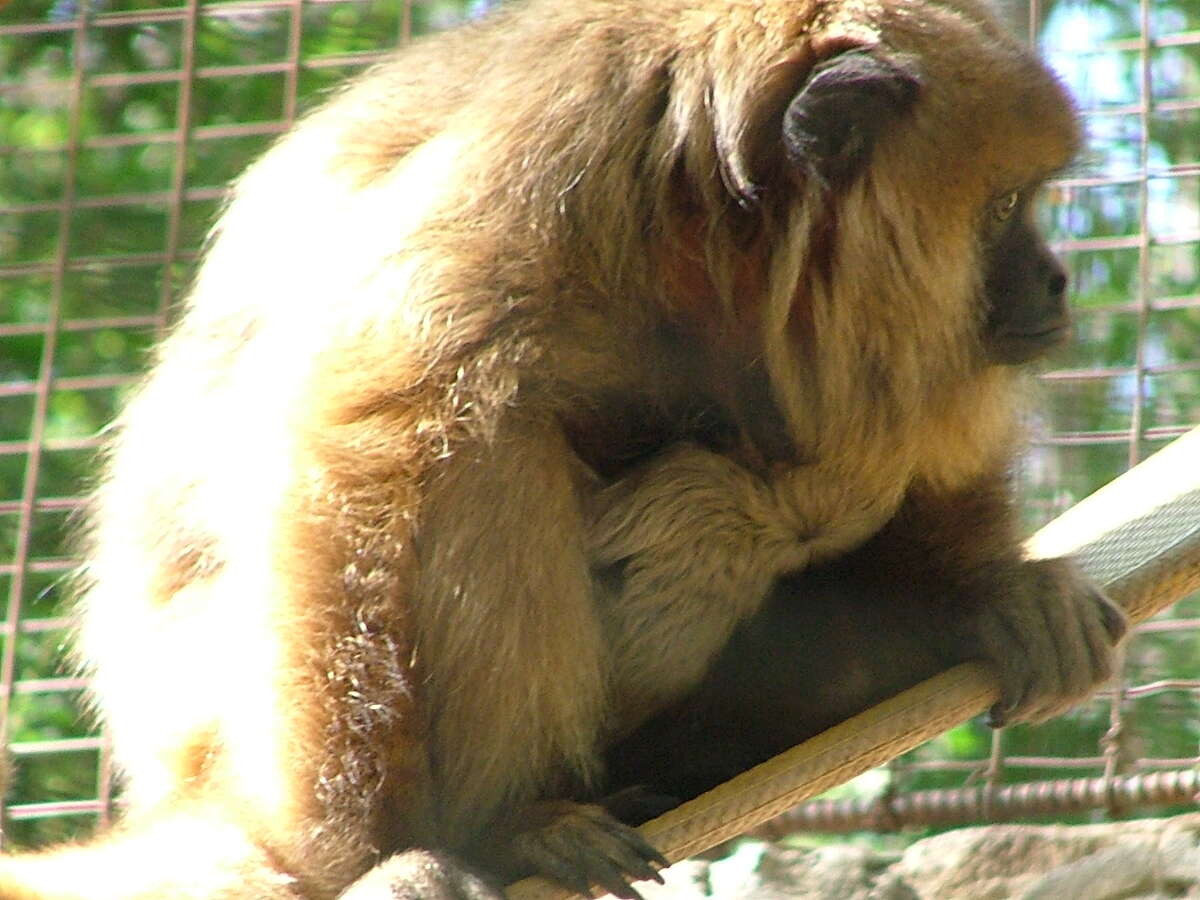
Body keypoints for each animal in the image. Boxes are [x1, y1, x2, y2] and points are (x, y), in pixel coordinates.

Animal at [0, 0, 1127, 898]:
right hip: (219, 730)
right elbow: (373, 435)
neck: (721, 239)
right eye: (1005, 207)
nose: (1059, 279)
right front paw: (382, 855)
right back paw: (506, 826)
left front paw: (974, 596)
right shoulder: (559, 162)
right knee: (493, 448)